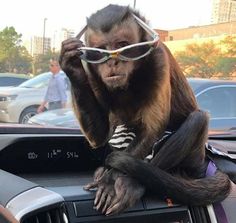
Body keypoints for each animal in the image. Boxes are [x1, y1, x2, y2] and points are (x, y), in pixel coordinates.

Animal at [59, 3, 230, 216]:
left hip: (195, 160)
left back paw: (131, 183)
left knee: (197, 120)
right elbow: (100, 136)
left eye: (123, 44)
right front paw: (71, 64)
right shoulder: (92, 69)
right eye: (101, 51)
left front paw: (111, 181)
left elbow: (151, 130)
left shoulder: (158, 58)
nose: (112, 61)